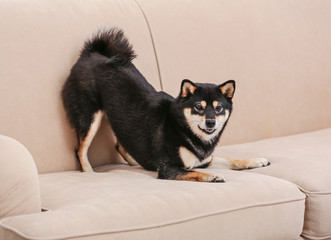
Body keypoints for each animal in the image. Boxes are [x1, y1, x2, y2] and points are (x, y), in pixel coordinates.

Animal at [62, 27, 270, 182]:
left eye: (218, 108)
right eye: (199, 107)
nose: (211, 122)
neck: (183, 128)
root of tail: (91, 54)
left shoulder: (204, 160)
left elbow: (231, 160)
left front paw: (256, 161)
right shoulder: (169, 168)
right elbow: (195, 172)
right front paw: (213, 176)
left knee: (121, 145)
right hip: (89, 117)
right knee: (80, 149)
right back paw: (89, 171)